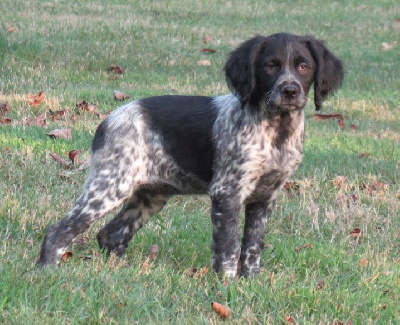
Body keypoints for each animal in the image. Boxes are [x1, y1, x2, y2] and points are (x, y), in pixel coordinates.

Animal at [38, 32, 344, 276]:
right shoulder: (227, 192)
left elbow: (252, 247)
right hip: (111, 185)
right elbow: (229, 247)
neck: (277, 130)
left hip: (150, 196)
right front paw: (227, 287)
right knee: (60, 230)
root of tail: (108, 120)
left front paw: (250, 283)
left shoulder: (265, 197)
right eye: (271, 66)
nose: (290, 90)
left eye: (304, 66)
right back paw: (47, 271)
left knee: (110, 234)